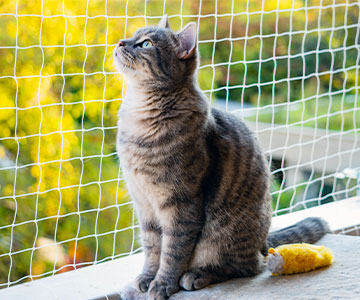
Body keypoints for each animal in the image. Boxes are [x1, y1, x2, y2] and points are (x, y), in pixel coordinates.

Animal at [114, 16, 330, 300]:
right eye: (133, 35)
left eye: (146, 44)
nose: (120, 42)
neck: (139, 121)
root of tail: (264, 241)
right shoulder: (145, 206)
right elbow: (152, 249)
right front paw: (147, 277)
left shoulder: (180, 204)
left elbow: (172, 252)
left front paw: (161, 284)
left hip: (222, 236)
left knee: (249, 266)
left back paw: (198, 275)